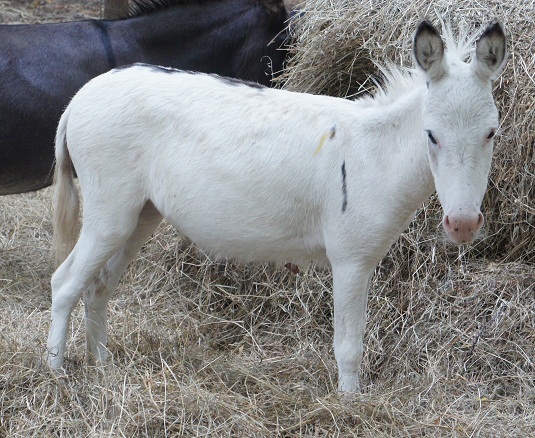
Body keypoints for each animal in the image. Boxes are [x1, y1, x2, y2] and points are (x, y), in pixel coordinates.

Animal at [46, 20, 507, 392]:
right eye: (431, 136)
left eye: (491, 134)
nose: (463, 225)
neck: (375, 154)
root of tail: (79, 97)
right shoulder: (350, 261)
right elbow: (349, 346)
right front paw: (349, 404)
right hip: (110, 212)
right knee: (64, 282)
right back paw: (56, 374)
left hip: (139, 215)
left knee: (98, 287)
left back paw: (102, 366)